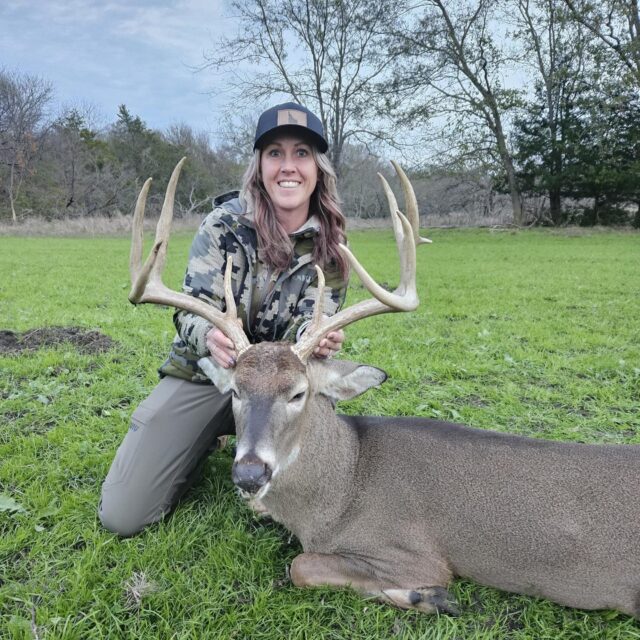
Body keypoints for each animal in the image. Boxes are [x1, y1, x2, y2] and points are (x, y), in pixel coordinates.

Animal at [128, 158, 640, 618]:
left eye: (298, 393)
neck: (341, 490)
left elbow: (301, 566)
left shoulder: (415, 553)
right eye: (235, 390)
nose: (250, 474)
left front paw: (427, 598)